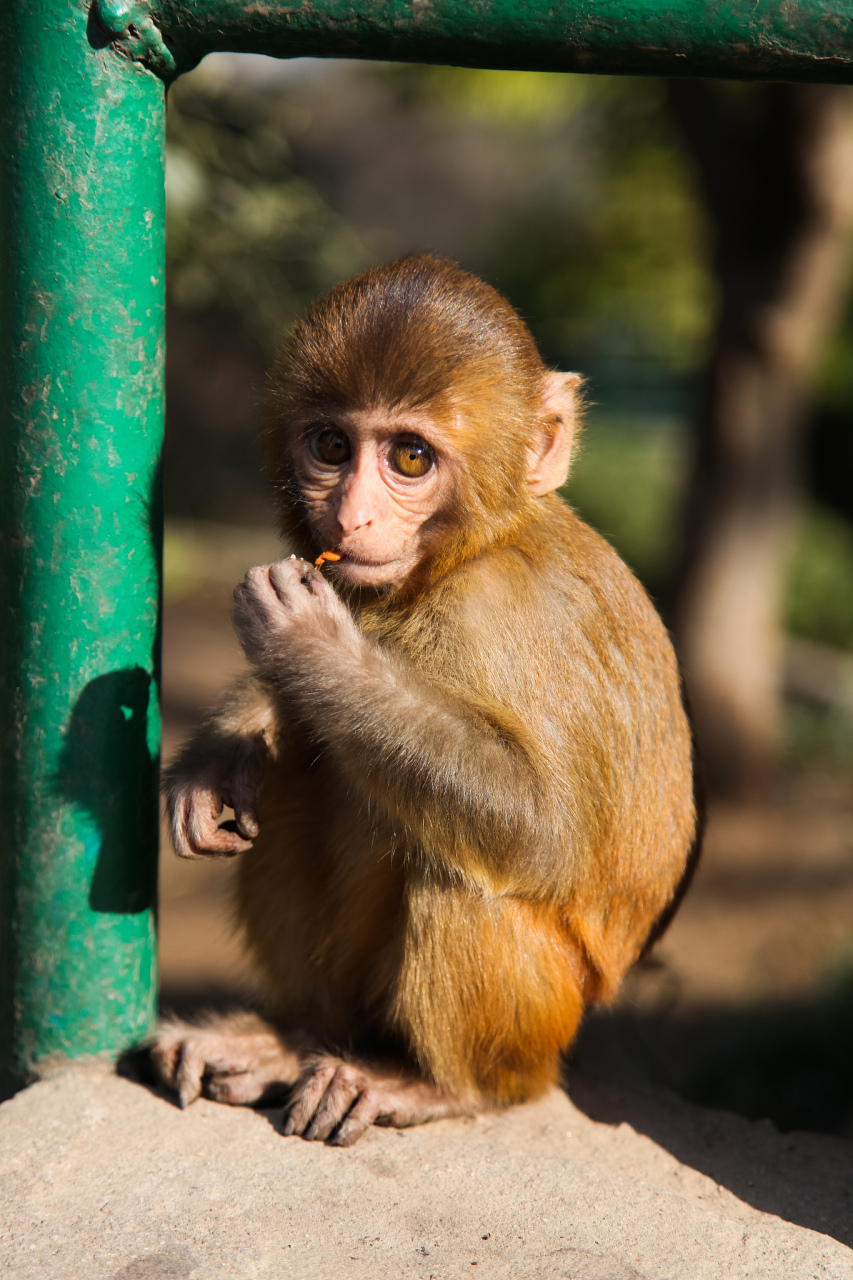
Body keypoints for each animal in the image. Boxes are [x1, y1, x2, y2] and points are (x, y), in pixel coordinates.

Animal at [154, 252, 696, 1152]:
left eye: (409, 459)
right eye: (331, 446)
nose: (350, 517)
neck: (464, 555)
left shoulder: (504, 614)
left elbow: (537, 826)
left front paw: (312, 646)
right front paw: (217, 751)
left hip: (544, 1019)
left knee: (457, 866)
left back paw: (437, 1085)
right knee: (296, 776)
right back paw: (294, 1037)